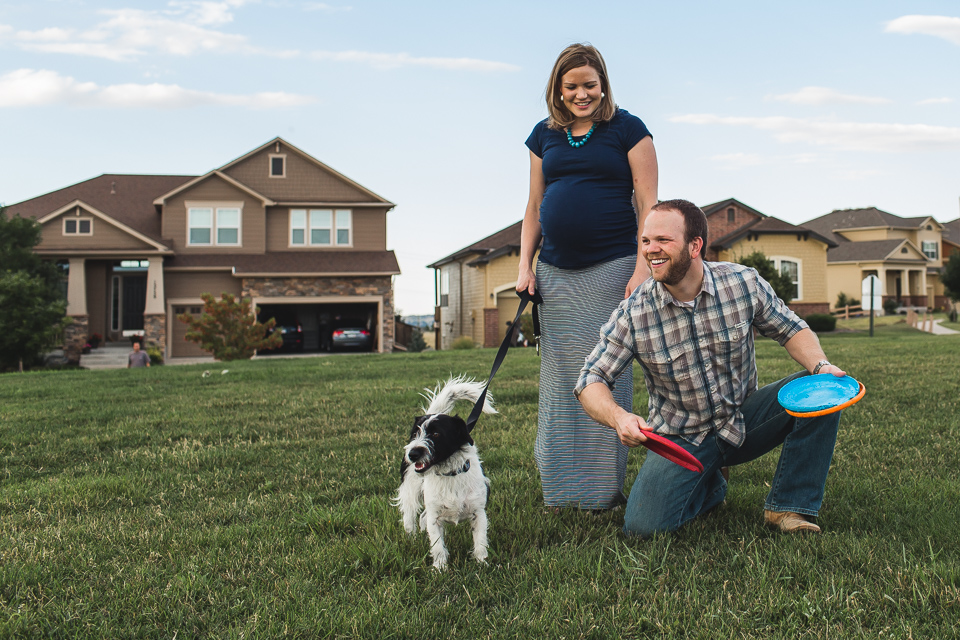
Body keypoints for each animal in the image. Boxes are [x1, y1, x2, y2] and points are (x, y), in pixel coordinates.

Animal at [392, 376, 496, 568]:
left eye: (436, 434)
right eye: (415, 433)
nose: (412, 454)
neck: (449, 474)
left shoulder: (479, 514)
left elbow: (480, 542)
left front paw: (481, 564)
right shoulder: (435, 517)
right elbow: (437, 545)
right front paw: (440, 568)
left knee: (422, 517)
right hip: (411, 490)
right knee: (410, 516)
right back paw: (412, 539)